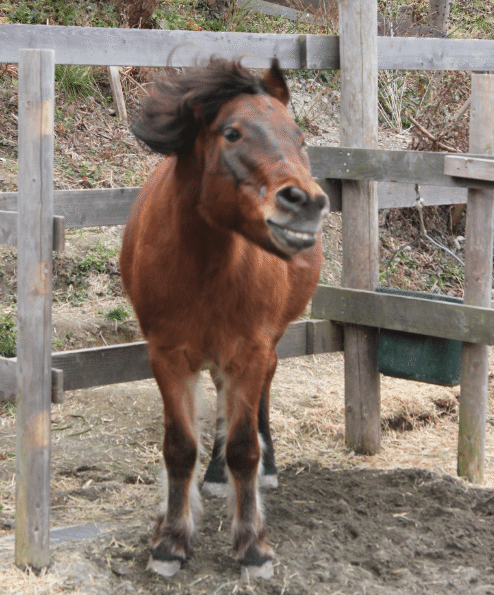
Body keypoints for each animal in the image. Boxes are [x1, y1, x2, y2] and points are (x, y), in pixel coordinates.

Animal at [119, 58, 328, 580]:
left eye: (298, 138)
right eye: (232, 133)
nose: (307, 203)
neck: (206, 266)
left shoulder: (250, 353)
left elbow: (243, 448)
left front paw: (252, 545)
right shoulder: (168, 357)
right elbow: (179, 448)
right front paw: (170, 542)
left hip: (265, 345)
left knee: (262, 392)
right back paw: (213, 477)